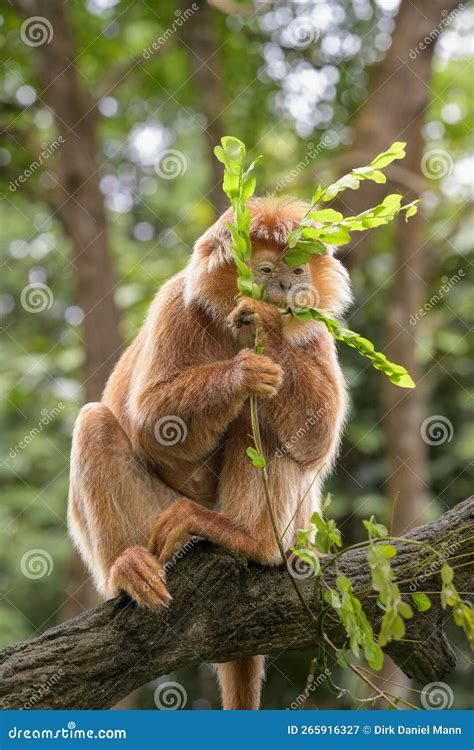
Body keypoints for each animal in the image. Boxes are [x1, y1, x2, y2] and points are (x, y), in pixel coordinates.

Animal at [69, 197, 352, 712]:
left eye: (298, 269)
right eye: (266, 269)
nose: (290, 289)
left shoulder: (312, 330)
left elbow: (316, 438)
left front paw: (266, 325)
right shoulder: (176, 304)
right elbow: (151, 420)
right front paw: (243, 370)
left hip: (288, 529)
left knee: (263, 416)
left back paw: (248, 538)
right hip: (160, 531)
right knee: (96, 423)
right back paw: (127, 568)